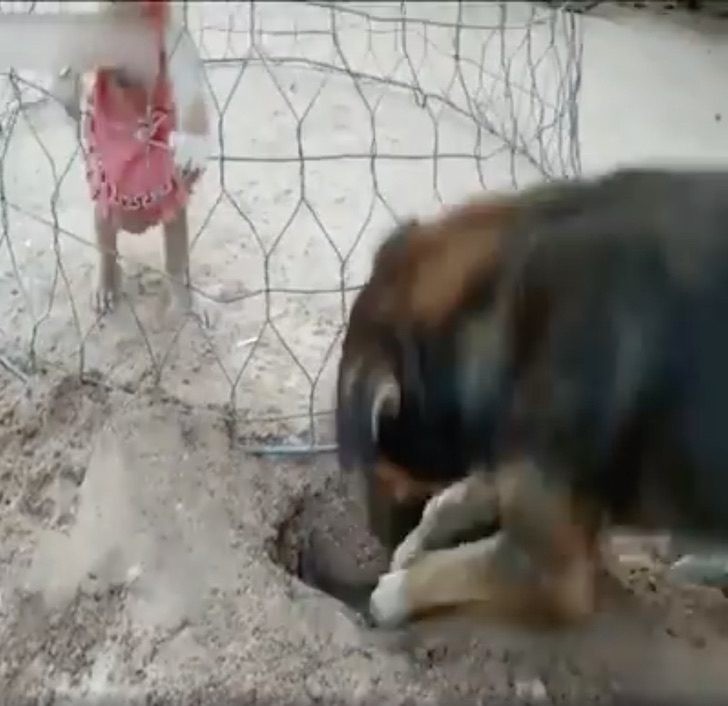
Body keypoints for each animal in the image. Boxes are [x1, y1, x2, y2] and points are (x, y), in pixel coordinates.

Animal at [336, 169, 728, 628]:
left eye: (376, 463)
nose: (375, 539)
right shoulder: (513, 450)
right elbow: (450, 498)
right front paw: (415, 544)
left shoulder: (555, 574)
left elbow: (459, 564)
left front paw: (394, 590)